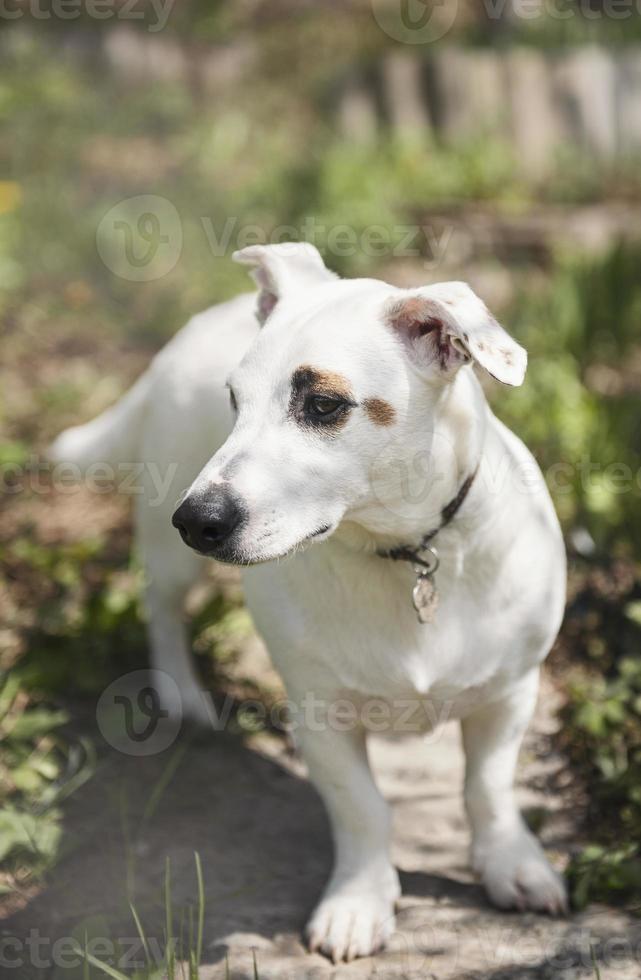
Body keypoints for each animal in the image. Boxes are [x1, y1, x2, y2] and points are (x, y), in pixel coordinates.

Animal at [52, 241, 568, 960]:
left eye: (324, 406)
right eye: (233, 401)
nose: (197, 520)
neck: (398, 554)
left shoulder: (510, 693)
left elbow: (486, 788)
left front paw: (509, 864)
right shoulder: (321, 716)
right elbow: (362, 807)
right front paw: (359, 901)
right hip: (166, 548)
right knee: (162, 609)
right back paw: (183, 693)